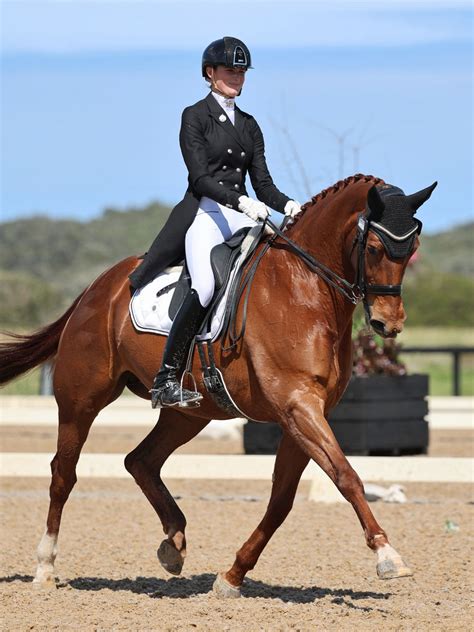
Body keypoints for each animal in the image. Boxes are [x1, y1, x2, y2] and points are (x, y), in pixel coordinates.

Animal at [0, 174, 436, 596]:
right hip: (82, 400)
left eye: (413, 245)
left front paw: (232, 575)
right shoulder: (297, 405)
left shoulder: (305, 412)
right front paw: (387, 556)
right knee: (63, 473)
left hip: (188, 412)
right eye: (375, 248)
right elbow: (346, 476)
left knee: (140, 460)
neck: (304, 290)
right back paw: (45, 567)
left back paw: (173, 544)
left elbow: (282, 500)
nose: (388, 323)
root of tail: (98, 288)